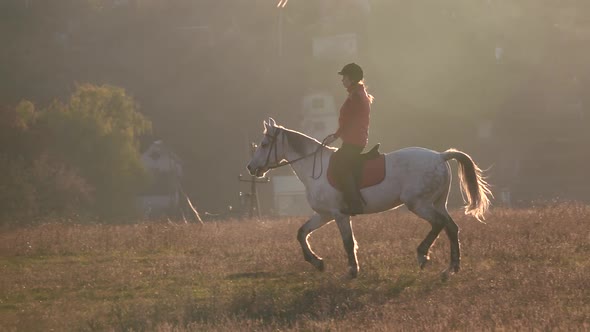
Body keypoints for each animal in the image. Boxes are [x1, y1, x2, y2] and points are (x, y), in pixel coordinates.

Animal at [247, 118, 492, 278]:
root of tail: (441, 156)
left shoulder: (338, 214)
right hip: (437, 203)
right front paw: (317, 262)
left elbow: (348, 242)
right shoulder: (324, 214)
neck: (314, 169)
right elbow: (301, 233)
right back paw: (451, 268)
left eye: (264, 144)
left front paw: (352, 271)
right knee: (451, 227)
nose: (251, 168)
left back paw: (423, 256)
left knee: (439, 224)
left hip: (419, 204)